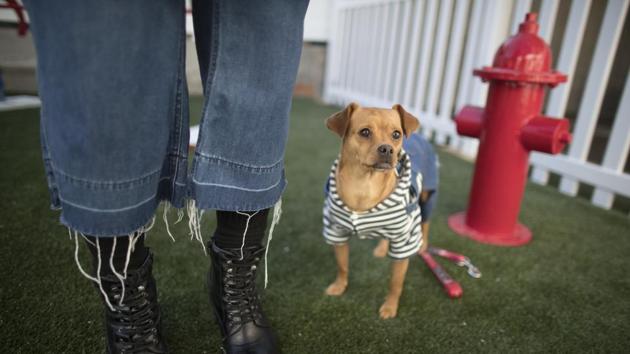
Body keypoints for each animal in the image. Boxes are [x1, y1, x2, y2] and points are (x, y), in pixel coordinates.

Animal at [324, 102, 422, 320]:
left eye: (396, 134)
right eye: (365, 132)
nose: (387, 149)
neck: (364, 186)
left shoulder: (403, 242)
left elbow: (396, 282)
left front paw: (390, 306)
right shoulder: (336, 232)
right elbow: (342, 265)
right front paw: (339, 286)